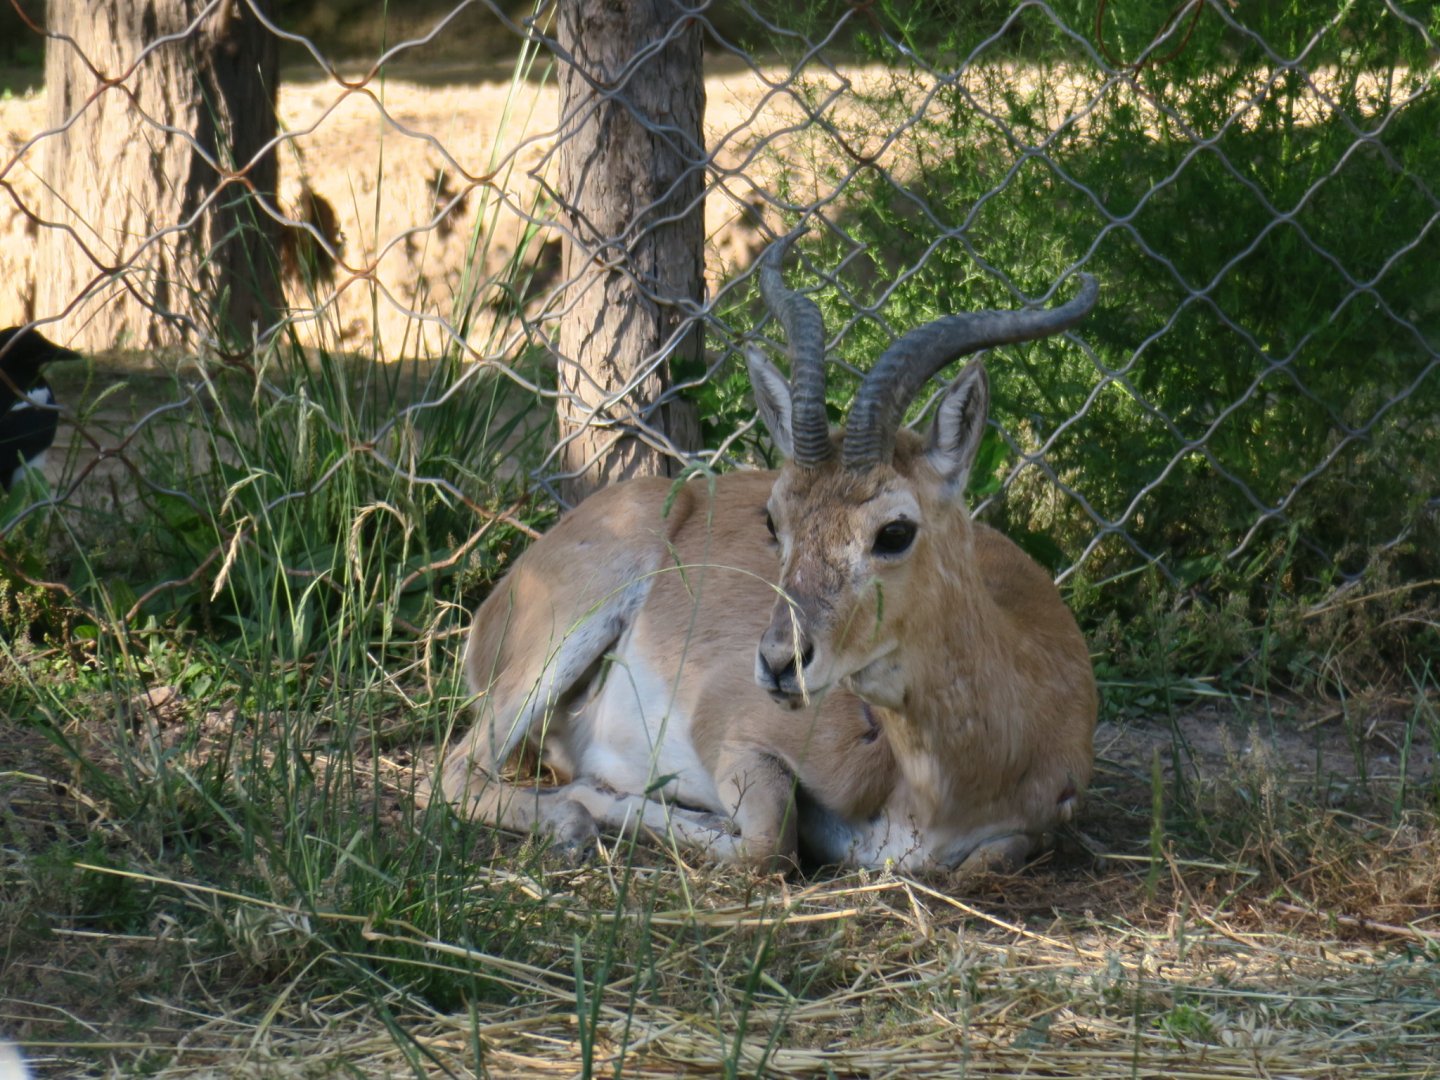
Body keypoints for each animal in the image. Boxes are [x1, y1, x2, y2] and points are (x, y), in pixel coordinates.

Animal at [420, 232, 1099, 873]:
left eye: (895, 531)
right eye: (774, 519)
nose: (778, 662)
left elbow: (991, 857)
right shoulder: (737, 735)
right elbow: (771, 842)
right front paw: (610, 800)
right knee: (453, 773)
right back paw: (571, 821)